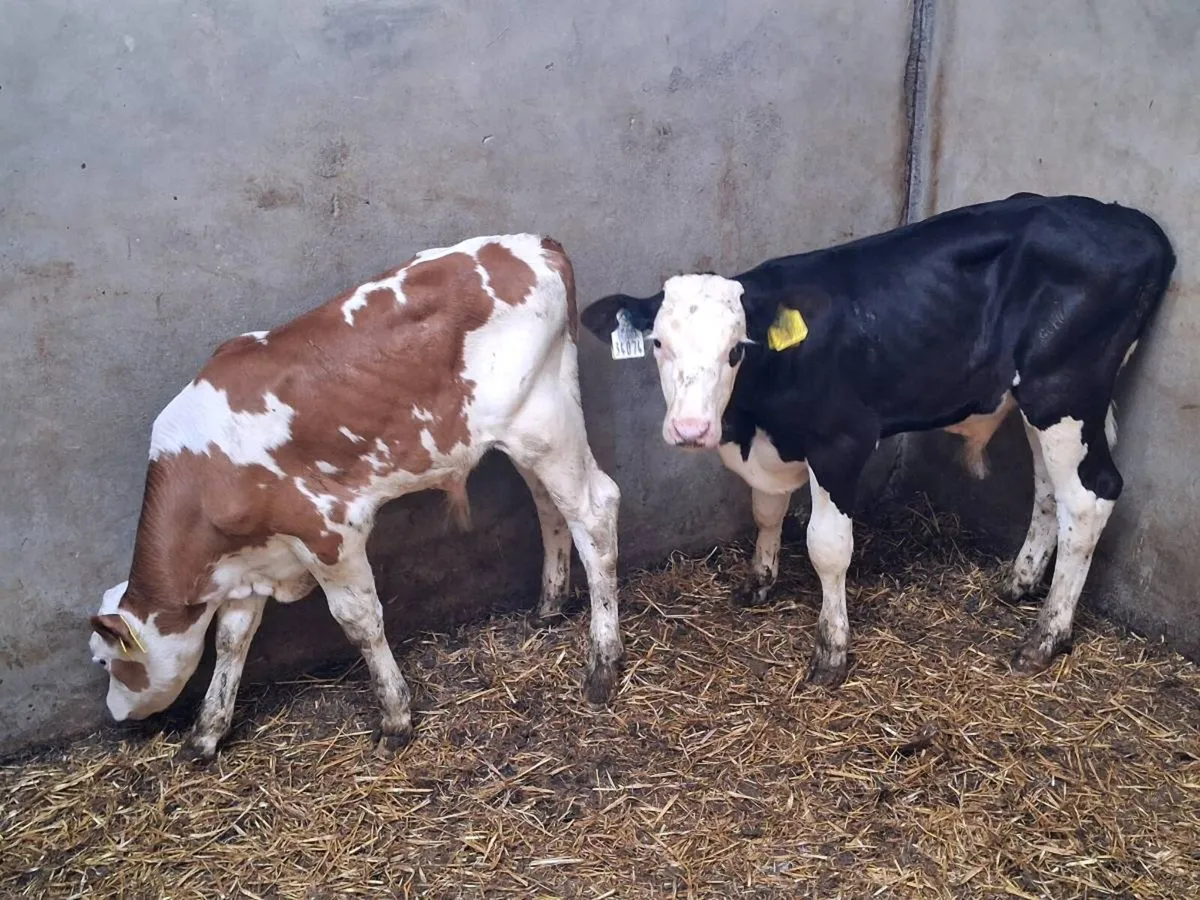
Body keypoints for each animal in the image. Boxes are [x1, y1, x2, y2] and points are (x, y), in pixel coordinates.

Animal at [89, 234, 622, 760]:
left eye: (104, 662)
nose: (117, 715)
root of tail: (535, 243)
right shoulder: (254, 558)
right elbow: (231, 639)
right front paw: (206, 732)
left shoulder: (328, 531)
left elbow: (359, 621)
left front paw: (395, 718)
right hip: (532, 430)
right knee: (550, 506)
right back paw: (550, 605)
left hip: (543, 424)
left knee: (595, 512)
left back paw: (602, 663)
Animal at [581, 193, 1174, 686]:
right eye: (659, 343)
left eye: (736, 349)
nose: (690, 429)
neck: (752, 421)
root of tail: (1132, 221)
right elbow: (766, 511)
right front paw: (759, 581)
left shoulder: (841, 443)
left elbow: (827, 546)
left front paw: (831, 651)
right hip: (1043, 402)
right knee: (1051, 489)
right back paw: (1020, 582)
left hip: (1063, 387)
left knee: (1091, 497)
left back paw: (1046, 636)